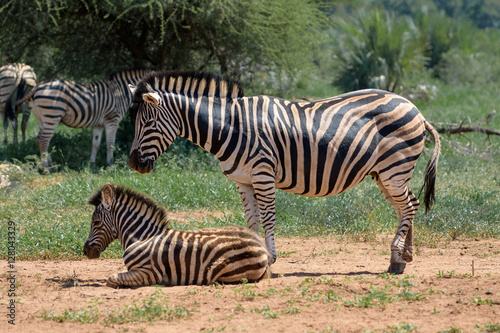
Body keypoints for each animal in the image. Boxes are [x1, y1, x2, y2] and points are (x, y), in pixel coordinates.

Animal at [18, 67, 153, 166]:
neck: (122, 91)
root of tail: (36, 87)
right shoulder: (112, 119)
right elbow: (110, 144)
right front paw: (110, 164)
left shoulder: (99, 124)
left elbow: (95, 143)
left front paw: (91, 164)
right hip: (52, 114)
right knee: (43, 140)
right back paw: (46, 167)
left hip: (42, 118)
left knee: (40, 140)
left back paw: (49, 162)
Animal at [83, 183, 270, 286]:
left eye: (96, 223)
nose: (85, 251)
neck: (142, 236)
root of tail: (261, 245)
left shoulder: (149, 272)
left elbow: (111, 278)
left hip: (220, 269)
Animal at [127, 71, 440, 274]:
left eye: (148, 123)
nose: (133, 164)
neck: (232, 126)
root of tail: (416, 108)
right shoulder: (243, 181)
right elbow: (251, 220)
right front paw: (251, 257)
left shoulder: (263, 173)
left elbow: (268, 217)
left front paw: (269, 258)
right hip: (384, 174)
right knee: (404, 208)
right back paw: (402, 257)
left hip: (394, 169)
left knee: (409, 205)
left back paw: (397, 259)